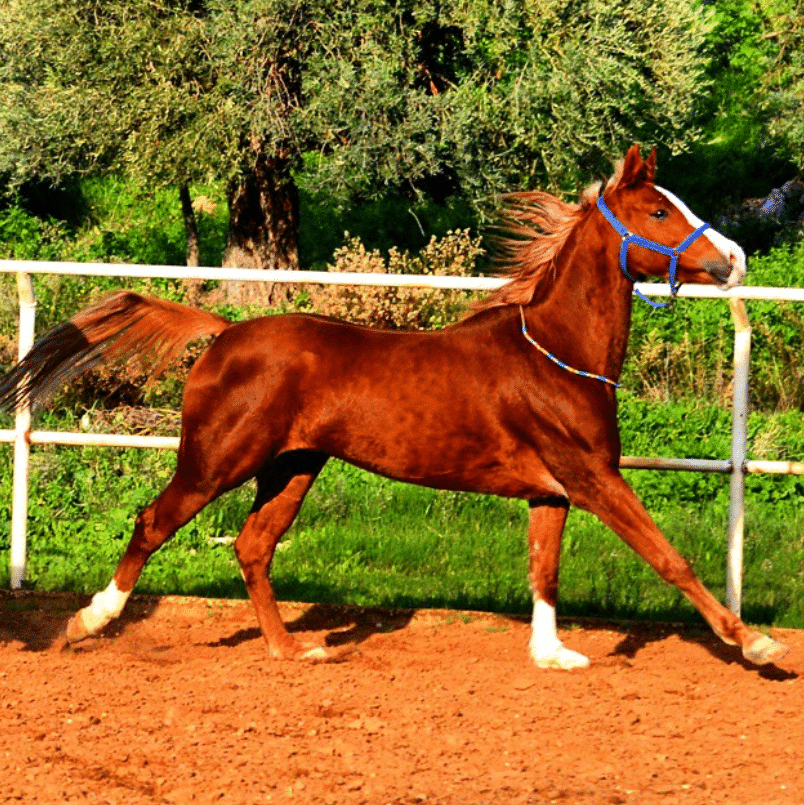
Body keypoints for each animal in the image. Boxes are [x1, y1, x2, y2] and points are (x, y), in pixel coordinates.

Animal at [0, 148, 792, 668]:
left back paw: (293, 649)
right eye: (658, 209)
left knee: (253, 546)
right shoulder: (593, 477)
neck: (556, 355)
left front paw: (553, 654)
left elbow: (545, 569)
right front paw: (754, 641)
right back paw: (88, 622)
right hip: (219, 459)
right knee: (155, 522)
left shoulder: (553, 489)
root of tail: (224, 333)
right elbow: (669, 556)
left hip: (293, 466)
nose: (735, 260)